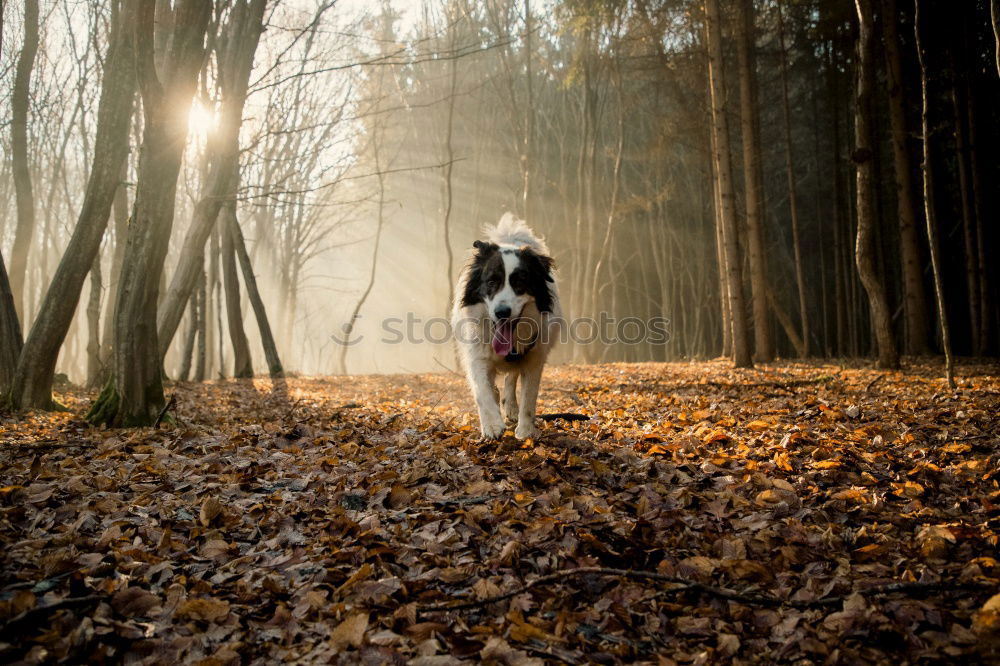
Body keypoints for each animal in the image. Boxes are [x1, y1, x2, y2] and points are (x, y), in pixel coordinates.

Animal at [452, 215, 560, 438]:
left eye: (520, 282)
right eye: (492, 281)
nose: (502, 312)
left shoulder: (534, 357)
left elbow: (529, 395)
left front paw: (525, 431)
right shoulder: (477, 354)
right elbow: (481, 390)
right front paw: (492, 425)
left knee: (511, 378)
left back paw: (510, 407)